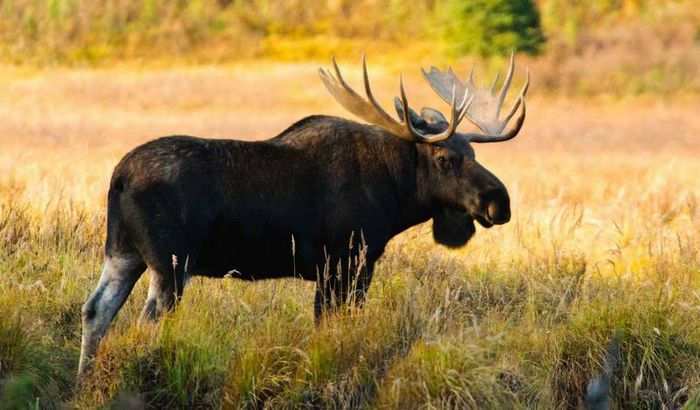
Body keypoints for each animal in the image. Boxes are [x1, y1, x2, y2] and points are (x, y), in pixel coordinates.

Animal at [78, 56, 532, 376]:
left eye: (474, 153)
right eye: (444, 158)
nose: (499, 201)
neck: (396, 194)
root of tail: (119, 177)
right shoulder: (347, 261)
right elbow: (332, 326)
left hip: (123, 252)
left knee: (95, 310)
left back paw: (84, 382)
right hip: (171, 263)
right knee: (146, 320)